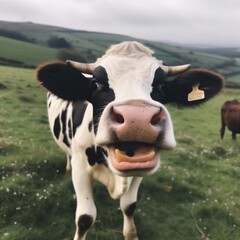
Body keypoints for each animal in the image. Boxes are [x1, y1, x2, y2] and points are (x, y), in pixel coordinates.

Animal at [36, 41, 224, 240]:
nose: (137, 119)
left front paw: (130, 233)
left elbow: (129, 206)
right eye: (97, 84)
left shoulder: (139, 172)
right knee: (68, 154)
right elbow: (85, 218)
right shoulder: (81, 168)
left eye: (161, 85)